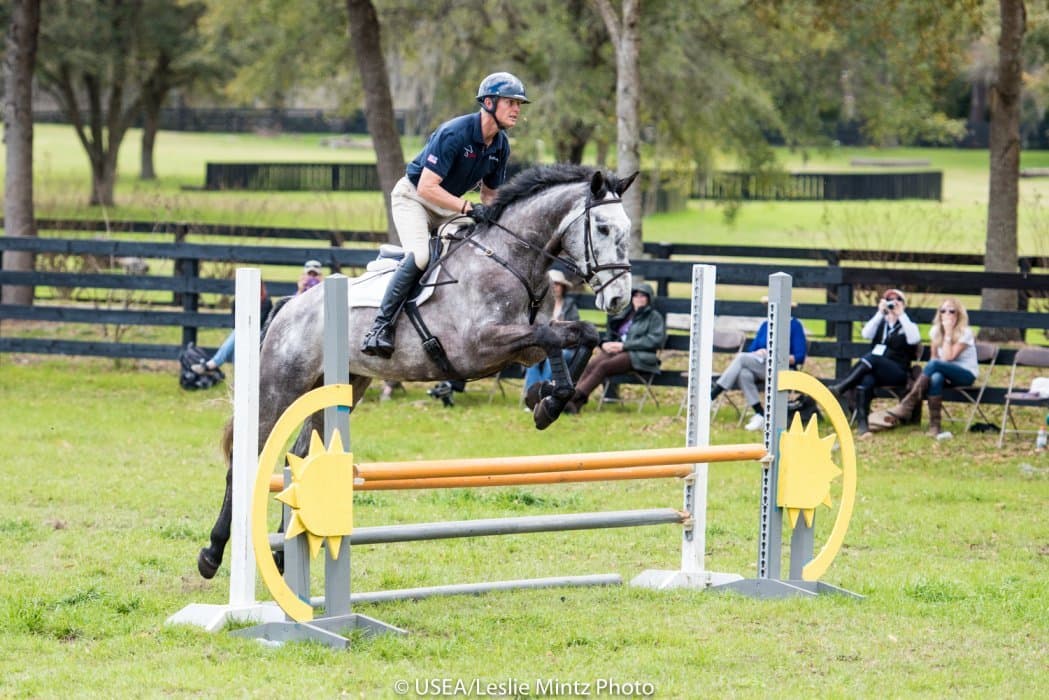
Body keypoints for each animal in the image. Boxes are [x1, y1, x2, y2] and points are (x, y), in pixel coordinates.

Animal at [198, 163, 637, 579]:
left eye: (626, 230)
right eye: (602, 227)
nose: (618, 298)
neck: (511, 260)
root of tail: (290, 305)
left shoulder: (524, 347)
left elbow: (577, 334)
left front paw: (549, 402)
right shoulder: (479, 346)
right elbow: (552, 336)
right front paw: (547, 401)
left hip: (340, 388)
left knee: (302, 456)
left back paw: (283, 552)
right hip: (279, 387)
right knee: (245, 462)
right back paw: (212, 554)